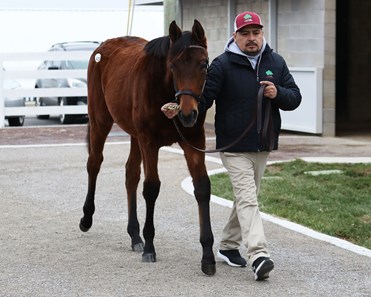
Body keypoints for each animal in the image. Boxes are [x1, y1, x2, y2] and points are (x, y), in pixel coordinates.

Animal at [80, 19, 217, 274]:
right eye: (173, 66)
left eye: (204, 64)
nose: (187, 114)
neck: (163, 90)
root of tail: (101, 47)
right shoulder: (149, 142)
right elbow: (151, 188)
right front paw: (150, 248)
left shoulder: (194, 141)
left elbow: (202, 188)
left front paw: (208, 256)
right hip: (101, 121)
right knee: (94, 163)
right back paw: (86, 219)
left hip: (134, 136)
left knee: (130, 174)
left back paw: (134, 235)